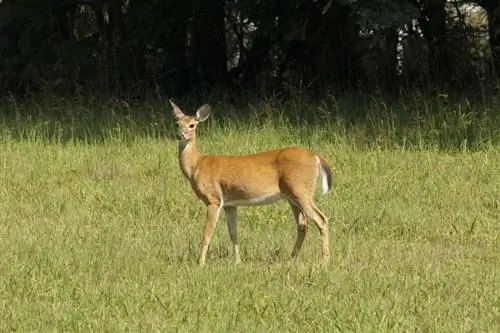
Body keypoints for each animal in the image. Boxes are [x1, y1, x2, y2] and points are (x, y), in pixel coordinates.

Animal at [170, 98, 334, 264]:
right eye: (177, 123)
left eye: (192, 125)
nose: (180, 135)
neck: (197, 165)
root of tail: (316, 156)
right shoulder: (230, 204)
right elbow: (233, 234)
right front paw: (237, 262)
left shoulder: (213, 199)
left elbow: (207, 233)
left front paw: (201, 263)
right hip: (292, 196)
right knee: (303, 225)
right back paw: (292, 259)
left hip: (300, 190)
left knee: (322, 219)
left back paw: (325, 261)